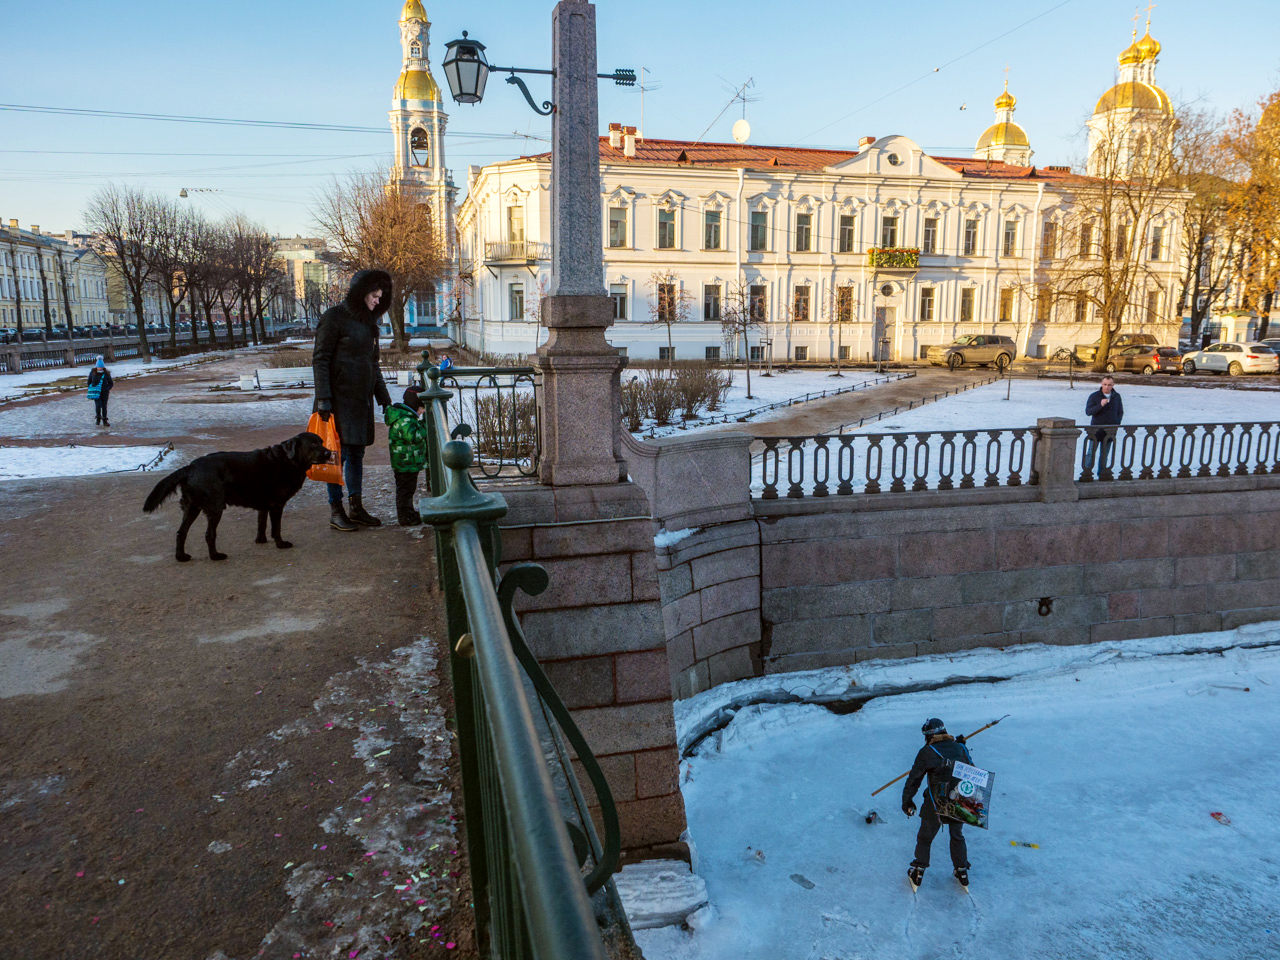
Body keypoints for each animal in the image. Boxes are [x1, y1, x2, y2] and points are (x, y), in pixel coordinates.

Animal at [143, 430, 332, 560]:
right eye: (313, 445)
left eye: (322, 442)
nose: (329, 452)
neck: (287, 460)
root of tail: (191, 466)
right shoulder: (277, 505)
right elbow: (276, 528)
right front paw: (280, 544)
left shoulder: (264, 505)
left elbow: (261, 524)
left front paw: (260, 540)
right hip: (216, 507)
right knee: (209, 534)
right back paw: (215, 556)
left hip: (192, 507)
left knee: (180, 532)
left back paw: (181, 557)